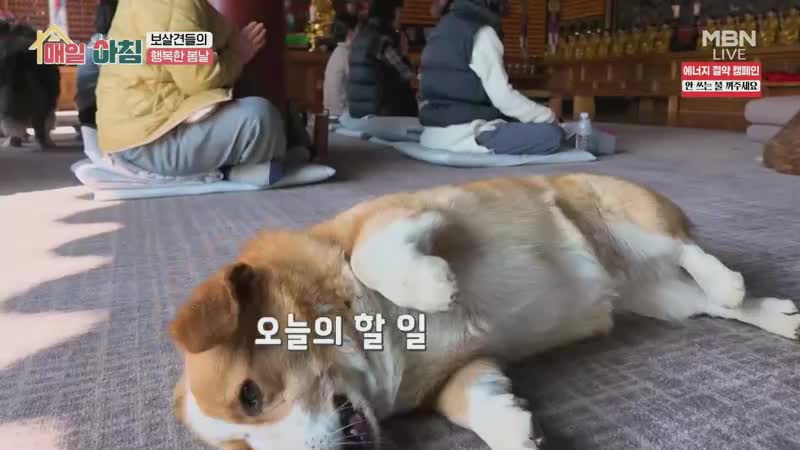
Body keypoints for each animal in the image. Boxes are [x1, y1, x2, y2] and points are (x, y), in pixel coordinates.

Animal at [169, 173, 799, 450]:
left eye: (251, 396)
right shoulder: (464, 369)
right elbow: (471, 404)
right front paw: (513, 429)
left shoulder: (414, 214)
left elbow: (371, 255)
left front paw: (428, 286)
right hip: (664, 300)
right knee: (712, 303)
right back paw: (777, 315)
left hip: (627, 222)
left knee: (689, 249)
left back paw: (726, 280)